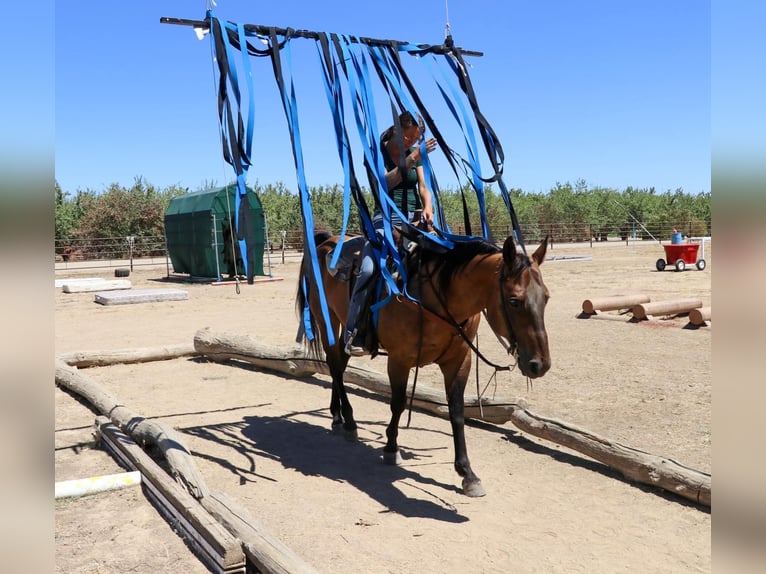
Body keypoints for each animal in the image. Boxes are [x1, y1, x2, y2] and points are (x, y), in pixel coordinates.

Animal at [296, 232, 552, 498]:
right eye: (514, 301)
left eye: (545, 297)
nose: (539, 364)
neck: (438, 298)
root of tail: (325, 242)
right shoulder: (399, 359)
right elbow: (398, 404)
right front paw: (391, 448)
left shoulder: (459, 360)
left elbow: (457, 412)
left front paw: (467, 473)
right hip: (327, 320)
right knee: (334, 366)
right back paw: (348, 421)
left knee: (339, 364)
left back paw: (337, 416)